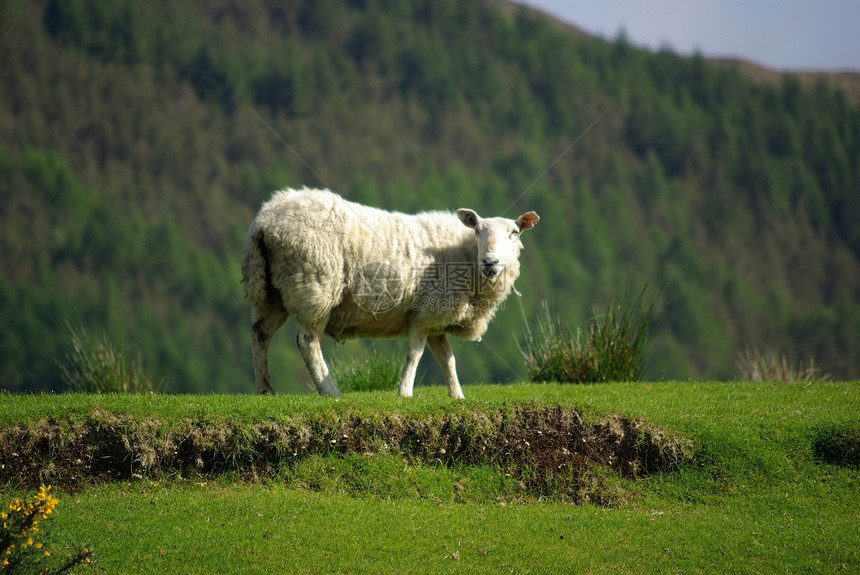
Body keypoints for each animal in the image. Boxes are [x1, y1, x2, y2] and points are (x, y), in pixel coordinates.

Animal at [242, 187, 536, 398]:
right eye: (477, 230)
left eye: (515, 232)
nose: (490, 261)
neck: (465, 256)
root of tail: (264, 220)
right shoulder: (425, 313)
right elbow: (415, 354)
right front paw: (405, 392)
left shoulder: (435, 318)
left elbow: (447, 359)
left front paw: (457, 396)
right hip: (315, 286)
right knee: (307, 341)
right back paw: (330, 391)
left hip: (273, 293)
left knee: (260, 333)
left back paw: (265, 390)